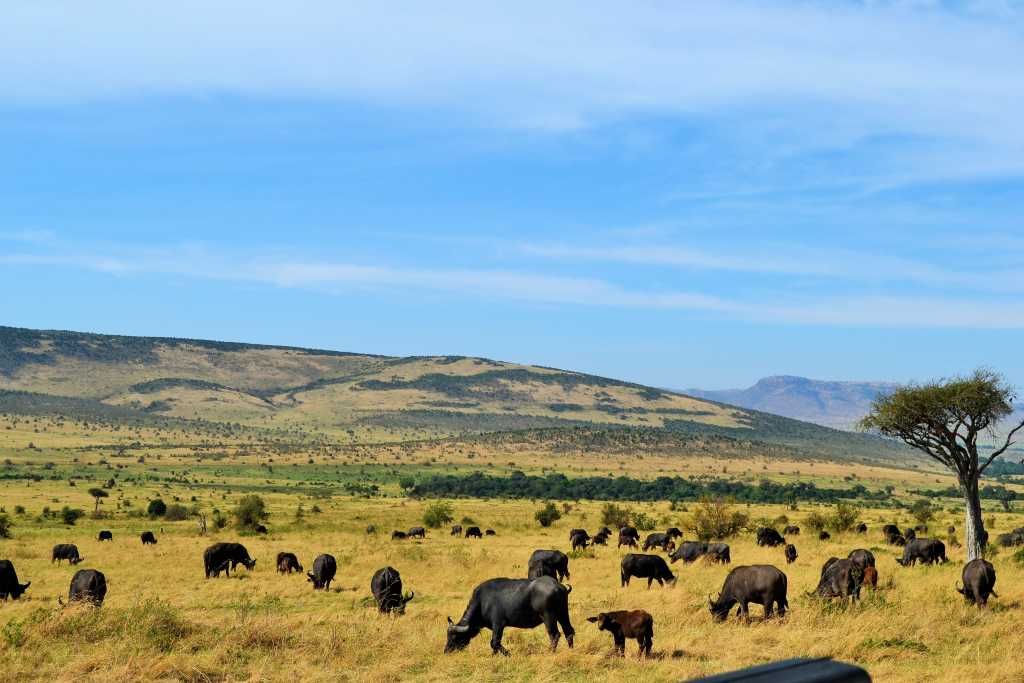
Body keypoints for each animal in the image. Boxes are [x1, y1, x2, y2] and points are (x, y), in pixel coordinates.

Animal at [444, 577, 577, 655]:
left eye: (454, 637)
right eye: (448, 636)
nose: (446, 651)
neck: (482, 602)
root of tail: (558, 586)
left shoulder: (498, 624)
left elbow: (494, 642)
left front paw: (508, 654)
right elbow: (494, 644)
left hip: (549, 617)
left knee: (554, 635)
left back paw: (550, 652)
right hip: (563, 614)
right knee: (569, 631)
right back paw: (571, 651)